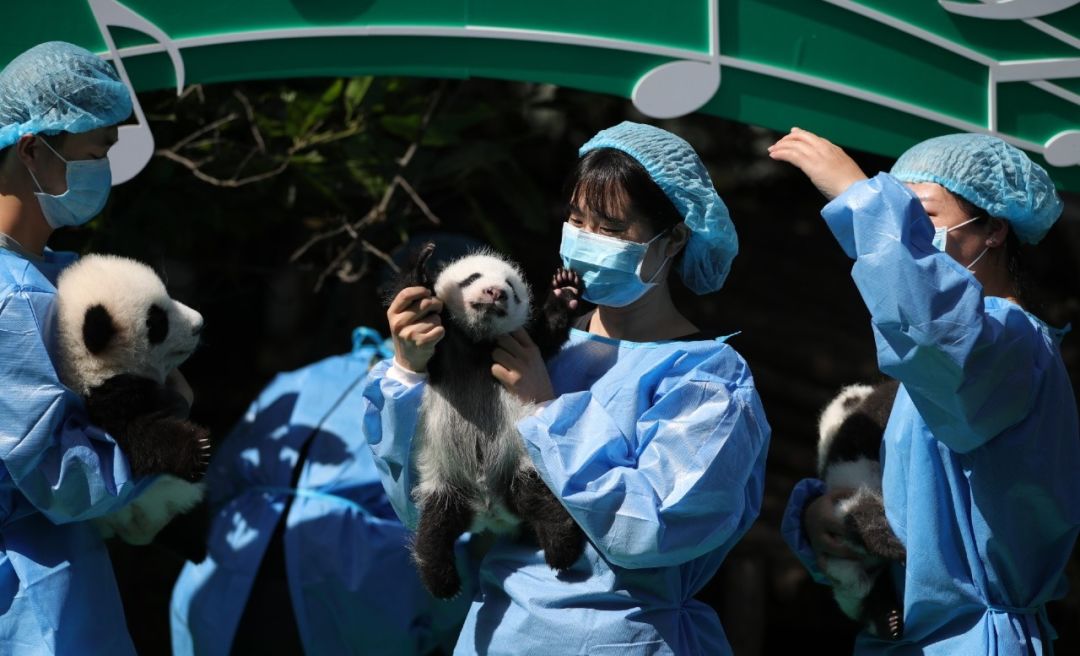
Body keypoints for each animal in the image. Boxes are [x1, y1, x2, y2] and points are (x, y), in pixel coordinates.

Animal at [395, 242, 587, 600]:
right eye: (473, 277)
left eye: (510, 287)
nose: (495, 292)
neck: (476, 342)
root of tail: (490, 512)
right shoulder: (443, 346)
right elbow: (417, 301)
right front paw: (421, 262)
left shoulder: (521, 341)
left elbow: (548, 333)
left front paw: (565, 291)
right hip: (444, 483)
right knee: (433, 533)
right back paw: (442, 580)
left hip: (520, 466)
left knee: (541, 501)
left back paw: (561, 550)